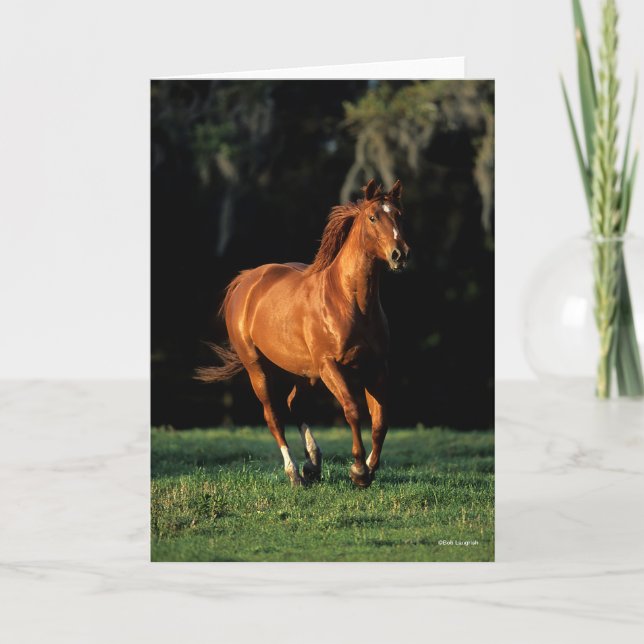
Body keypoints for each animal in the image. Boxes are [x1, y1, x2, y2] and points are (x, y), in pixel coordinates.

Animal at [196, 179, 410, 488]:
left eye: (400, 215)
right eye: (373, 217)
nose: (399, 255)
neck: (348, 301)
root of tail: (246, 280)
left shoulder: (377, 366)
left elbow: (381, 419)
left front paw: (369, 469)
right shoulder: (330, 365)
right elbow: (352, 410)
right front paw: (358, 470)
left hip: (303, 372)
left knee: (293, 404)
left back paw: (313, 464)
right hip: (258, 368)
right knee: (273, 415)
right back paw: (295, 473)